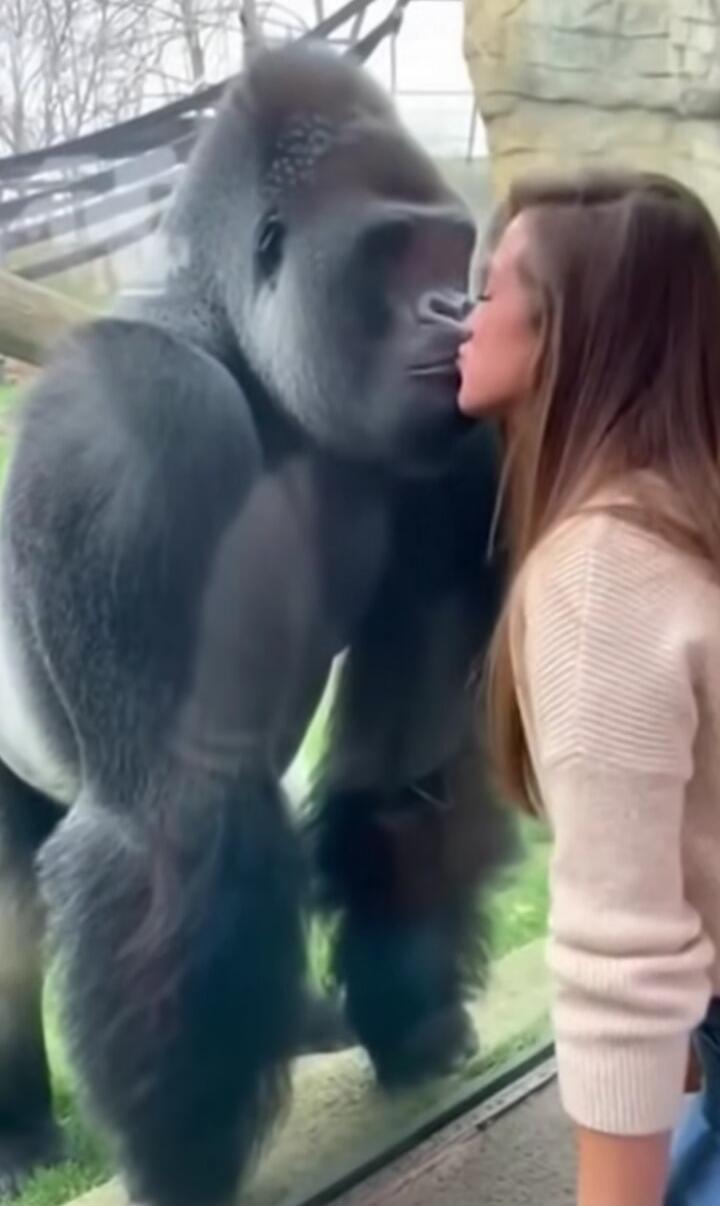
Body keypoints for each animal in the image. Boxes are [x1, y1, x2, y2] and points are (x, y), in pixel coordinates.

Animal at [0, 40, 515, 1206]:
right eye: (392, 250)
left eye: (452, 246)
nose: (454, 310)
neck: (250, 359)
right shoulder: (135, 421)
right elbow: (172, 818)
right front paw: (185, 1165)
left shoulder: (455, 443)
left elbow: (410, 760)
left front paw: (407, 1010)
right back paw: (22, 1134)